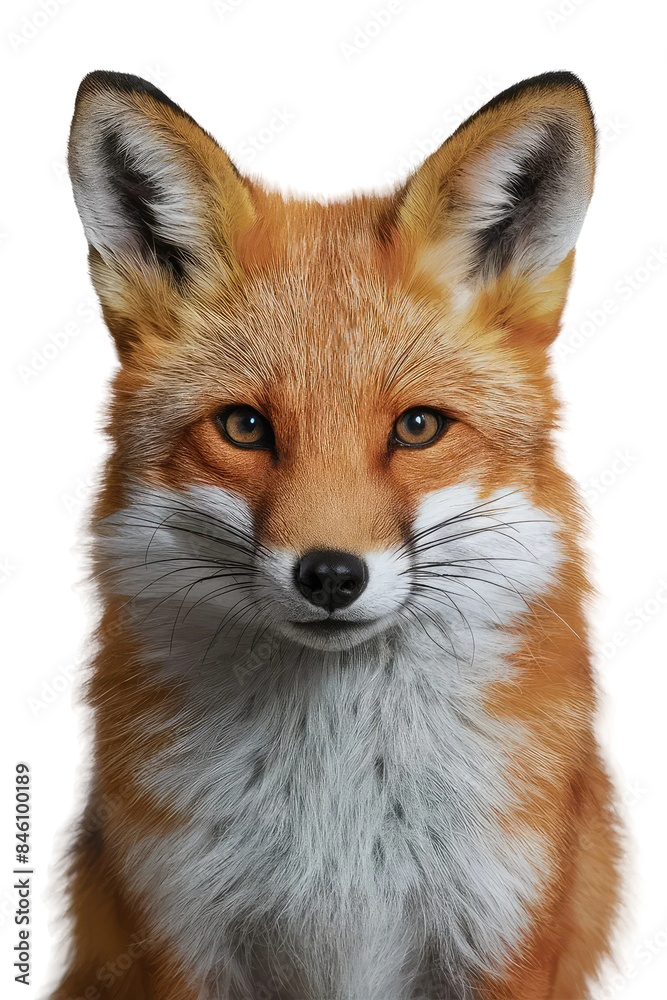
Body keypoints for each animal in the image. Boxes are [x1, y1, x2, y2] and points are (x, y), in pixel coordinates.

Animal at [50, 70, 622, 1000]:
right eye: (244, 427)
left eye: (418, 427)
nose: (328, 576)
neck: (338, 822)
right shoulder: (177, 937)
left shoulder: (501, 932)